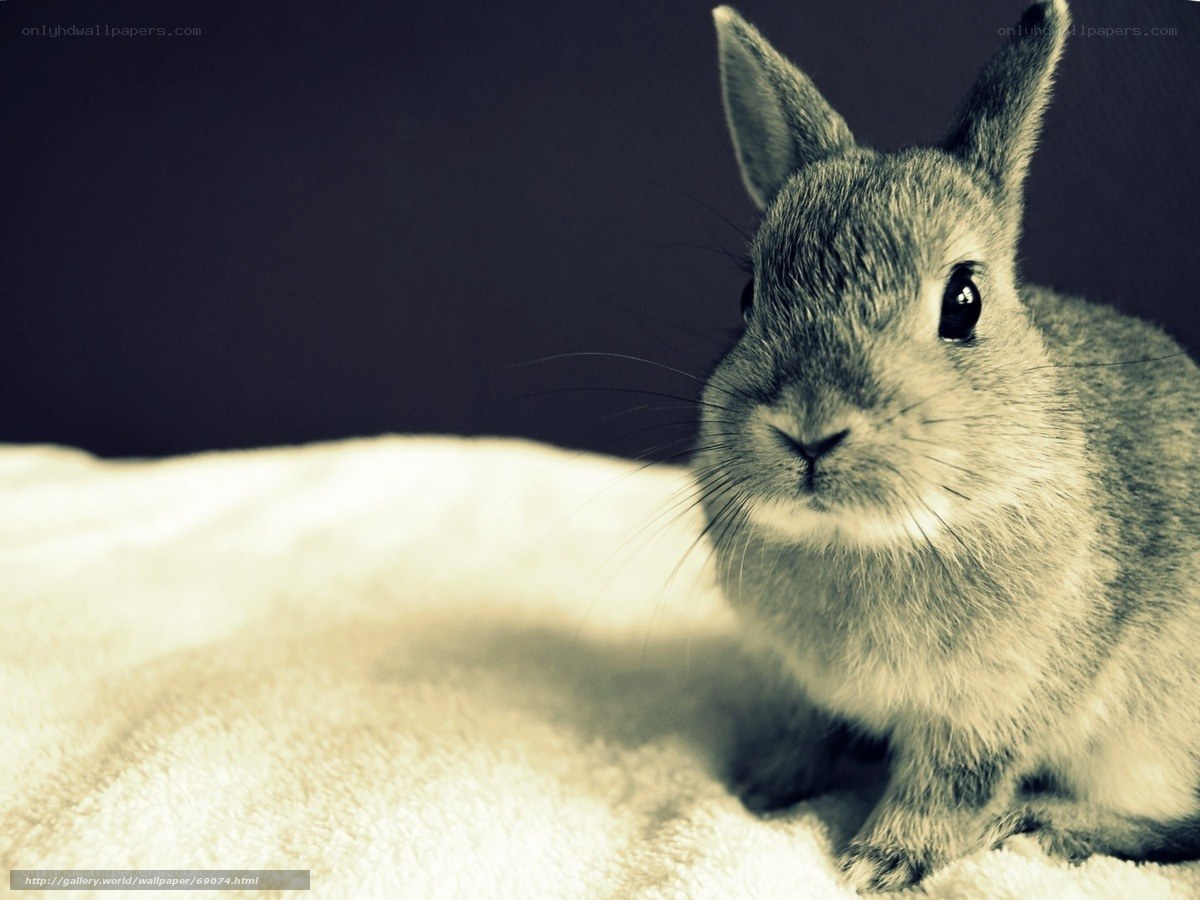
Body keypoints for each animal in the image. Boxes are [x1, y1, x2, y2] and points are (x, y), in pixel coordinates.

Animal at [695, 0, 1200, 892]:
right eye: (750, 296)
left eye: (964, 301)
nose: (809, 427)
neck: (866, 537)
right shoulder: (808, 689)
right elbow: (810, 734)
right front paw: (763, 789)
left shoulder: (992, 708)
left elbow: (945, 788)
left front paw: (878, 862)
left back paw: (1041, 821)